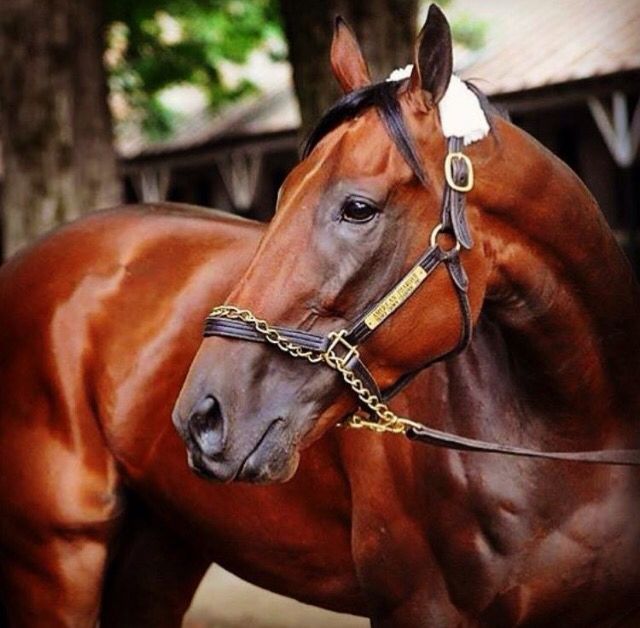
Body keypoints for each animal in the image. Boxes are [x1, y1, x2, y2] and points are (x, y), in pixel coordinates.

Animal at [0, 6, 636, 628]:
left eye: (357, 208)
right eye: (281, 196)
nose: (201, 418)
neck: (568, 442)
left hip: (160, 548)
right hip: (56, 559)